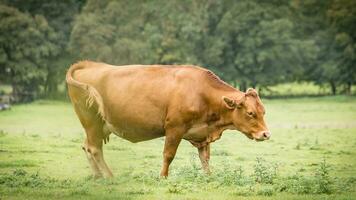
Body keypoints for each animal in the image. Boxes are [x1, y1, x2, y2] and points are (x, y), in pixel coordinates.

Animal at [66, 60, 270, 178]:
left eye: (263, 111)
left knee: (87, 147)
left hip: (97, 127)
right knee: (95, 149)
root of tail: (89, 64)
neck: (201, 92)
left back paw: (98, 177)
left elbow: (205, 158)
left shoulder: (202, 134)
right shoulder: (174, 129)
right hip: (92, 123)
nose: (266, 134)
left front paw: (208, 177)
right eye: (250, 113)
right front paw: (163, 176)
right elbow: (168, 155)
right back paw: (109, 176)